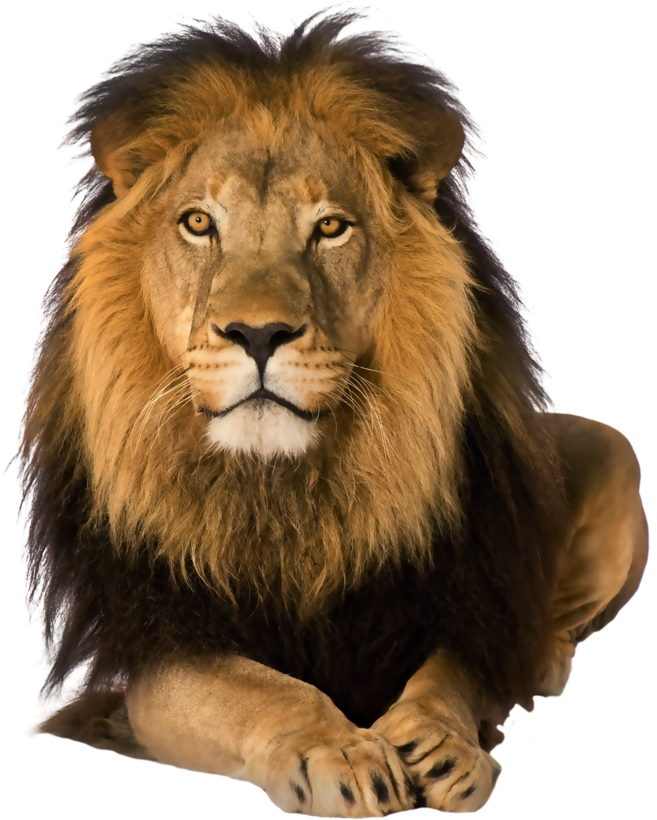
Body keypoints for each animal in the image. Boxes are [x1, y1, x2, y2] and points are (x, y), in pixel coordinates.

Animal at [10, 7, 649, 817]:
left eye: (330, 227)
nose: (257, 334)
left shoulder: (464, 597)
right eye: (198, 223)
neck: (289, 491)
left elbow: (451, 673)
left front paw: (440, 742)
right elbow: (259, 689)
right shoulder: (153, 647)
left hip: (607, 451)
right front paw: (339, 749)